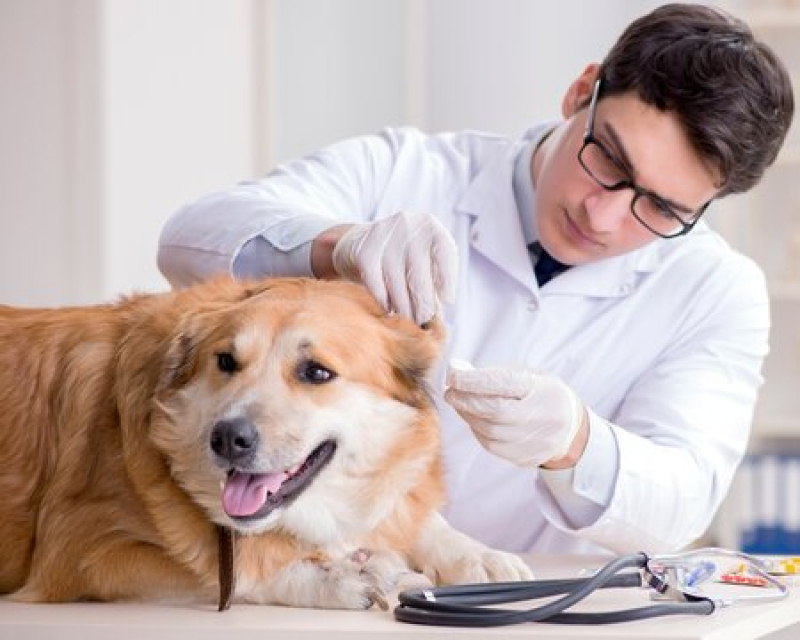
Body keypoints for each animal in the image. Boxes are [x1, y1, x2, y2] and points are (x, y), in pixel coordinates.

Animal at [0, 278, 532, 608]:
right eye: (225, 362)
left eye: (316, 372)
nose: (227, 439)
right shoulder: (83, 553)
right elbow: (221, 572)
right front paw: (341, 578)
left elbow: (408, 511)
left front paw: (476, 554)